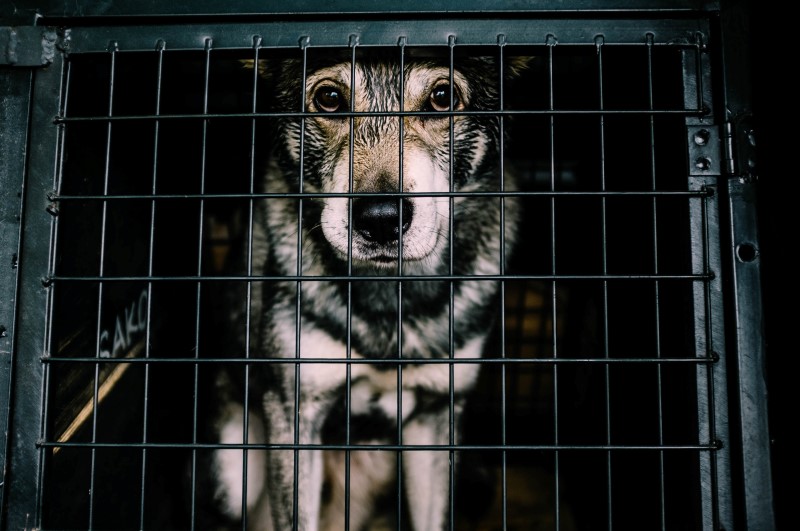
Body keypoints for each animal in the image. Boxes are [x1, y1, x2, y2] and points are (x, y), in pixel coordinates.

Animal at [198, 47, 528, 528]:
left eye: (442, 98)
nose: (381, 218)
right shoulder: (295, 413)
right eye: (330, 98)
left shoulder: (436, 414)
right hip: (231, 474)